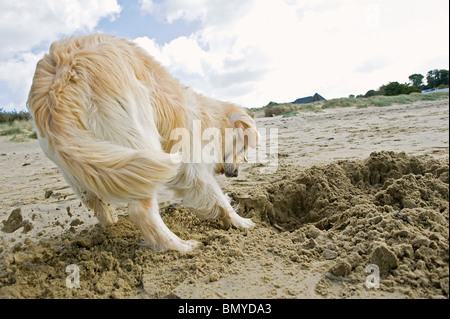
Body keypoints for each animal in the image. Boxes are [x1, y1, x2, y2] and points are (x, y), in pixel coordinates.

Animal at [28, 33, 258, 254]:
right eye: (243, 147)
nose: (237, 173)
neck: (211, 120)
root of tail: (58, 79)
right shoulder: (195, 169)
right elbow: (219, 198)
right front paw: (241, 222)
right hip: (141, 142)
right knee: (142, 212)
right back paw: (180, 246)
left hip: (85, 164)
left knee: (96, 204)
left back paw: (111, 225)